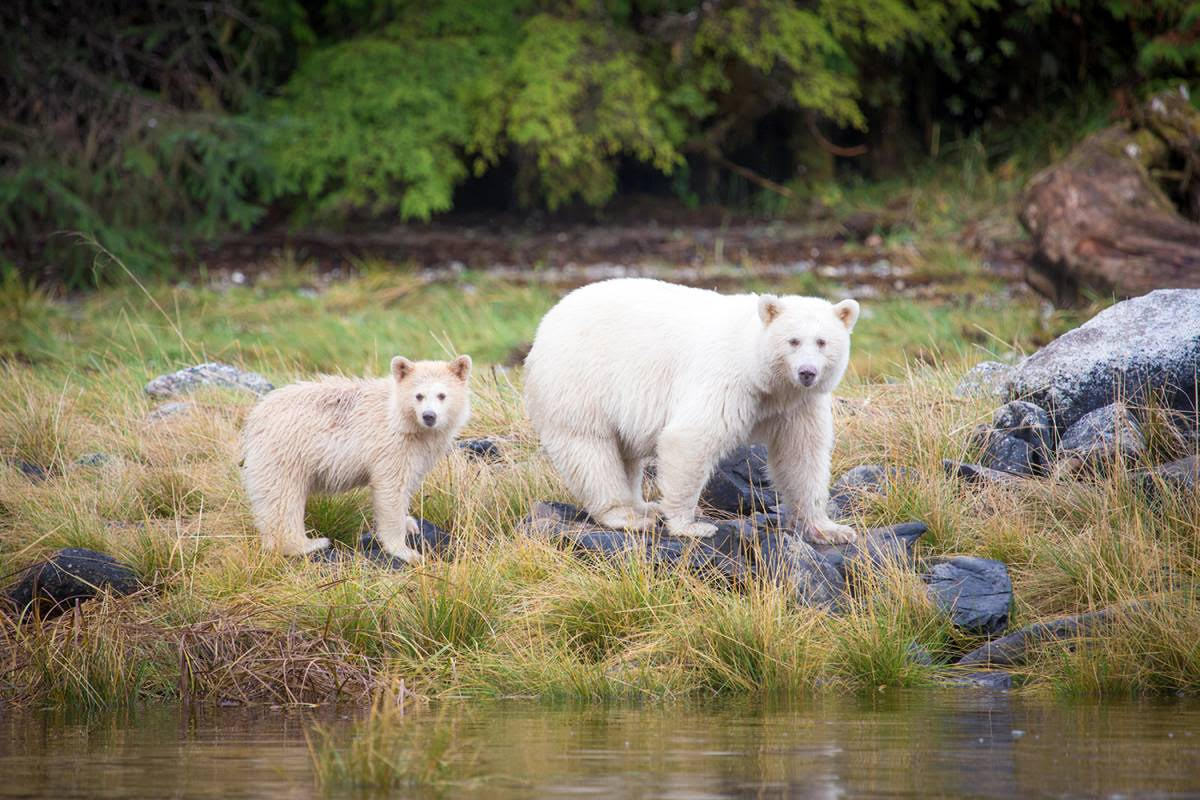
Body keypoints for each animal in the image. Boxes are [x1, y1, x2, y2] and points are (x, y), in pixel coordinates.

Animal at [241, 357, 470, 563]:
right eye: (419, 395)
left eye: (442, 395)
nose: (429, 416)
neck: (400, 417)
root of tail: (254, 418)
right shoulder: (391, 446)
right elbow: (391, 490)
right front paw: (406, 552)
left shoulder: (419, 450)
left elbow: (408, 484)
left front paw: (410, 523)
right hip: (286, 451)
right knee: (282, 497)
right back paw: (309, 544)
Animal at [523, 277, 854, 544]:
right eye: (793, 341)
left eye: (822, 342)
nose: (807, 372)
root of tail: (544, 325)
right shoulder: (728, 380)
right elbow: (691, 438)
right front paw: (691, 527)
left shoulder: (798, 404)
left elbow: (802, 455)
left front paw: (831, 530)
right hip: (580, 382)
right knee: (590, 450)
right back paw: (628, 515)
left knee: (624, 452)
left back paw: (644, 505)